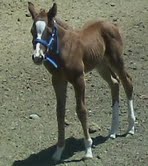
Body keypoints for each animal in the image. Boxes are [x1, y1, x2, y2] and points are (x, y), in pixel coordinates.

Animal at [27, 1, 135, 161]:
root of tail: (111, 24)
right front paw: (58, 151)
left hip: (116, 60)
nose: (37, 57)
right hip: (101, 65)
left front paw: (88, 150)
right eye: (32, 31)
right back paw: (113, 131)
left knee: (127, 83)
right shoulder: (58, 80)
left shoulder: (79, 79)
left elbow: (81, 110)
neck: (63, 50)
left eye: (49, 31)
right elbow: (60, 112)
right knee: (114, 82)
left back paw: (130, 127)